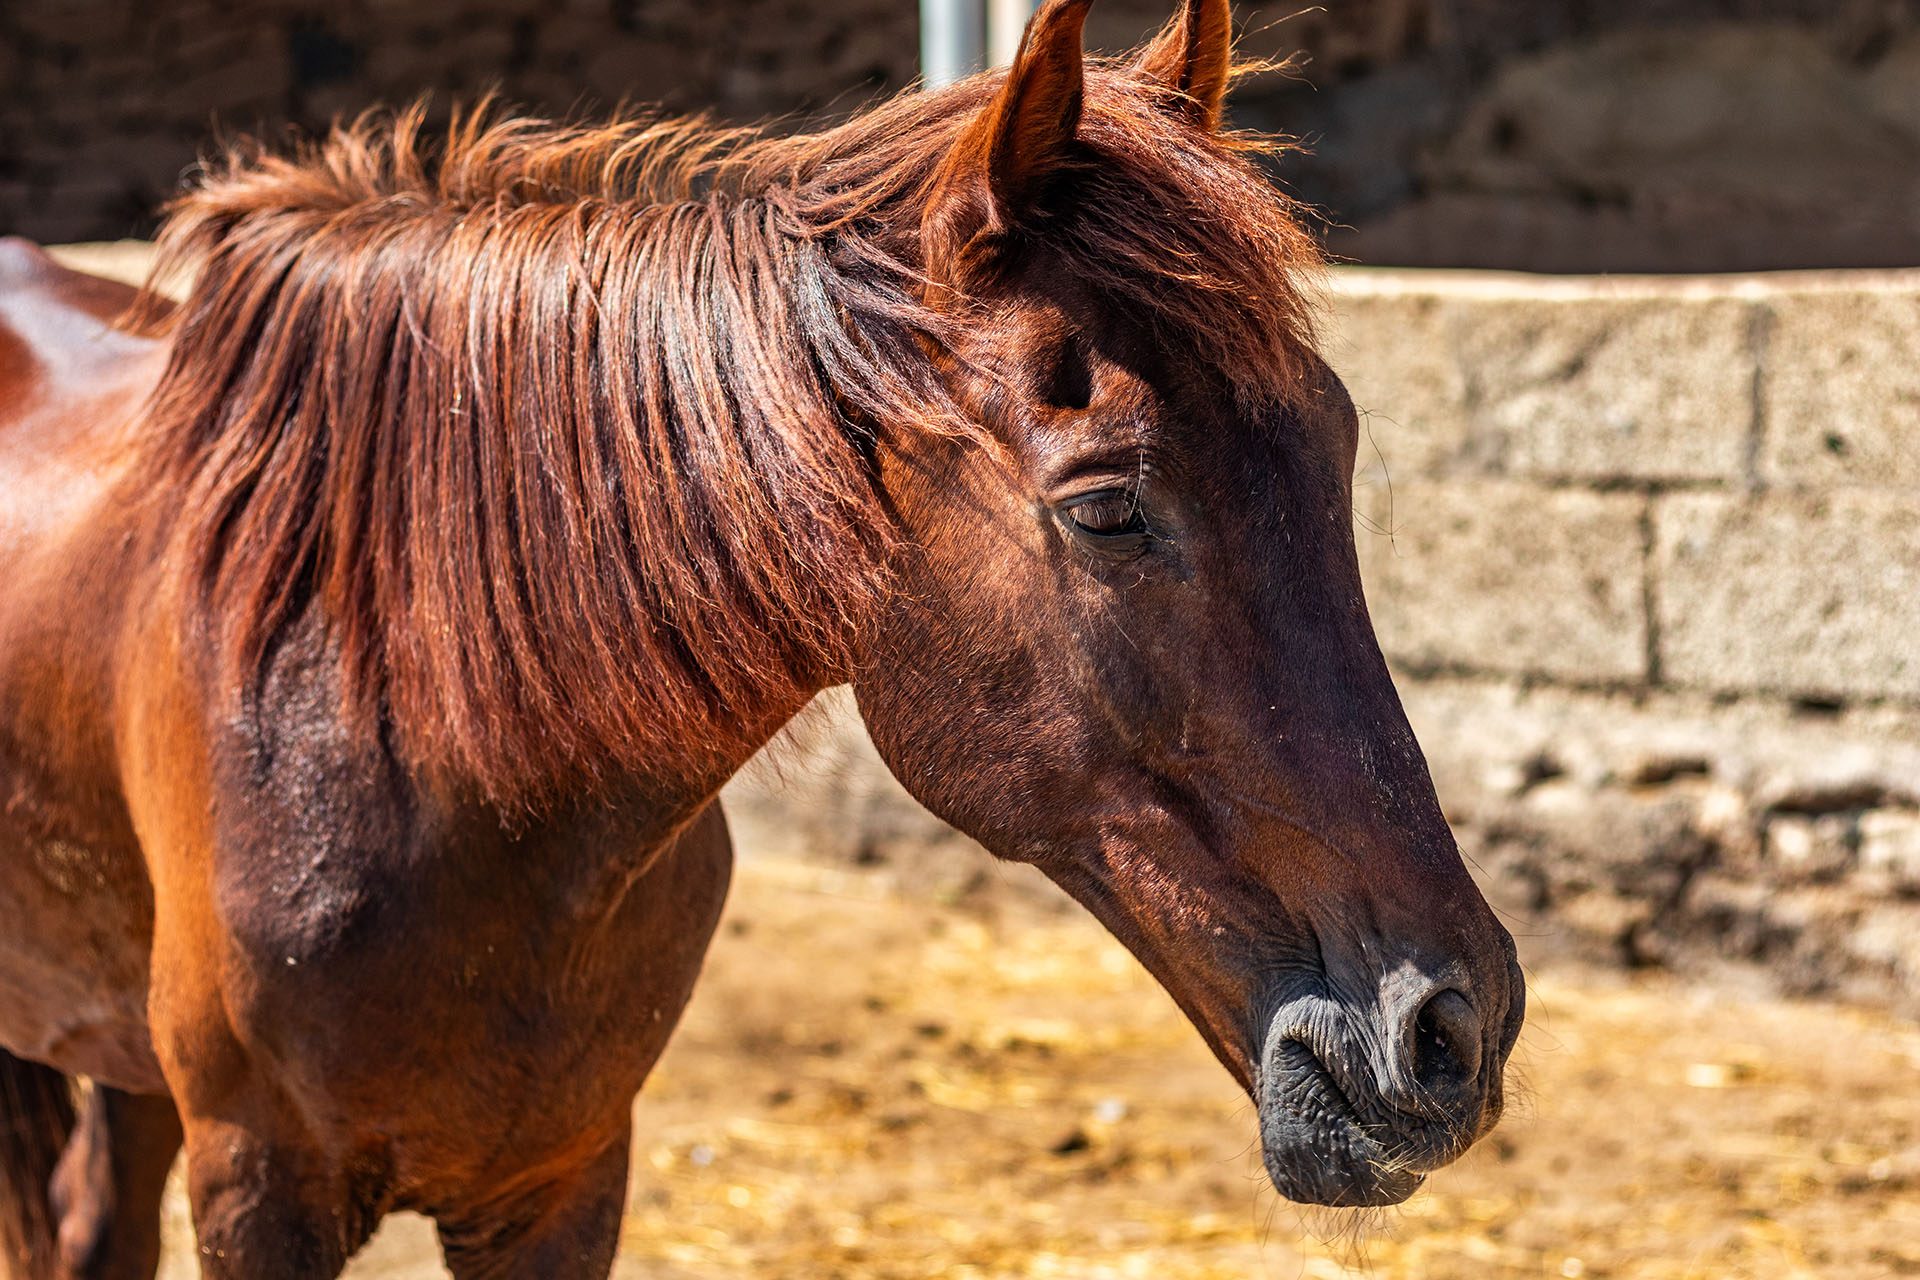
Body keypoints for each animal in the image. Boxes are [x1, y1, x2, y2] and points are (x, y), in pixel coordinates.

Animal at [0, 1, 1524, 1275]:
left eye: (1338, 445)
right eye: (1106, 507)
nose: (1453, 1029)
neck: (425, 734)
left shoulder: (563, 1181)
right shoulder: (260, 1188)